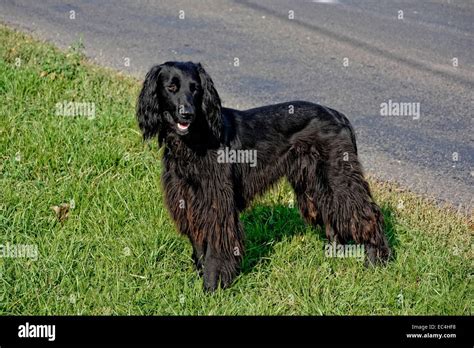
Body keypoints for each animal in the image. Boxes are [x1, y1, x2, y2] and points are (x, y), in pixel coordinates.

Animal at [135, 60, 390, 290]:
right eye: (171, 87)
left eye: (195, 88)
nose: (187, 114)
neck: (193, 142)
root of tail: (339, 115)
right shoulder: (188, 200)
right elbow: (199, 245)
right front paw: (200, 278)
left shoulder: (218, 203)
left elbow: (216, 247)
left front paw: (212, 286)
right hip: (315, 182)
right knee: (333, 214)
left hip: (338, 177)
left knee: (368, 214)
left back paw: (376, 261)